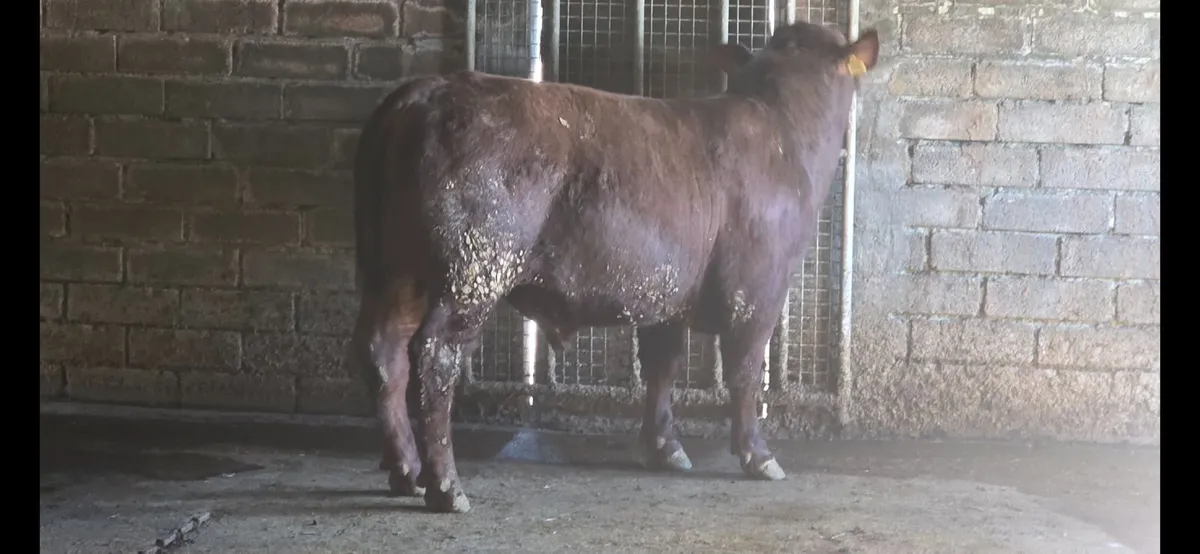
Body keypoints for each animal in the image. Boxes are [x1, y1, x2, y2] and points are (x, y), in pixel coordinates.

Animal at [351, 21, 880, 513]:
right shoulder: (758, 290)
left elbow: (663, 365)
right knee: (435, 358)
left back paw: (406, 471)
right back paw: (446, 486)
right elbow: (746, 372)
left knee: (384, 353)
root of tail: (425, 91)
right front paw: (759, 455)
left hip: (393, 270)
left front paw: (665, 448)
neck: (783, 129)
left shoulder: (668, 291)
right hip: (472, 270)